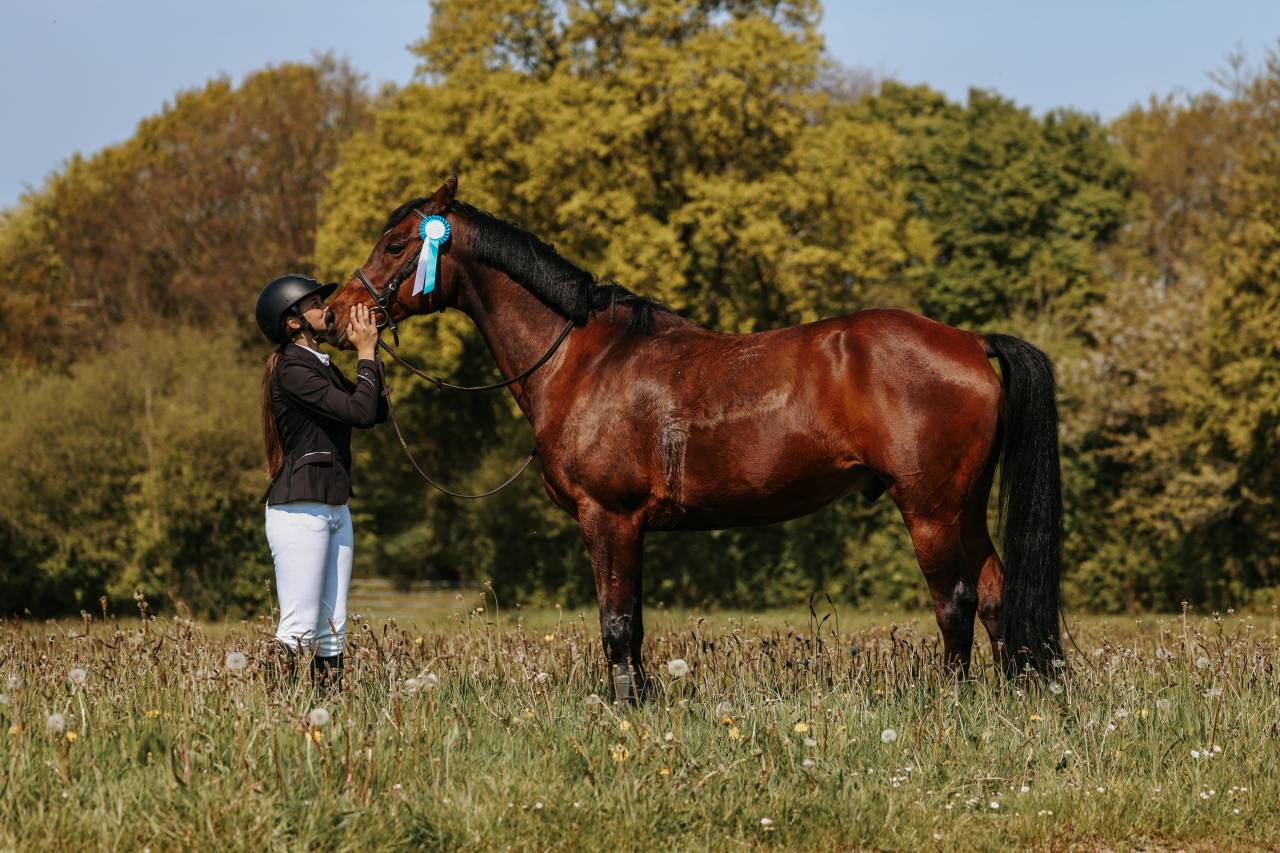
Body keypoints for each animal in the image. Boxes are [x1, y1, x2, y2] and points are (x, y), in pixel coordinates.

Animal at [325, 177, 1063, 698]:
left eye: (397, 245)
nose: (334, 315)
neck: (583, 358)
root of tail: (969, 341)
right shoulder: (631, 527)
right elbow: (632, 621)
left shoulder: (607, 516)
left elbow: (616, 622)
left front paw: (625, 709)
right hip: (965, 508)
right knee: (996, 594)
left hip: (930, 509)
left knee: (956, 602)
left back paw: (951, 701)